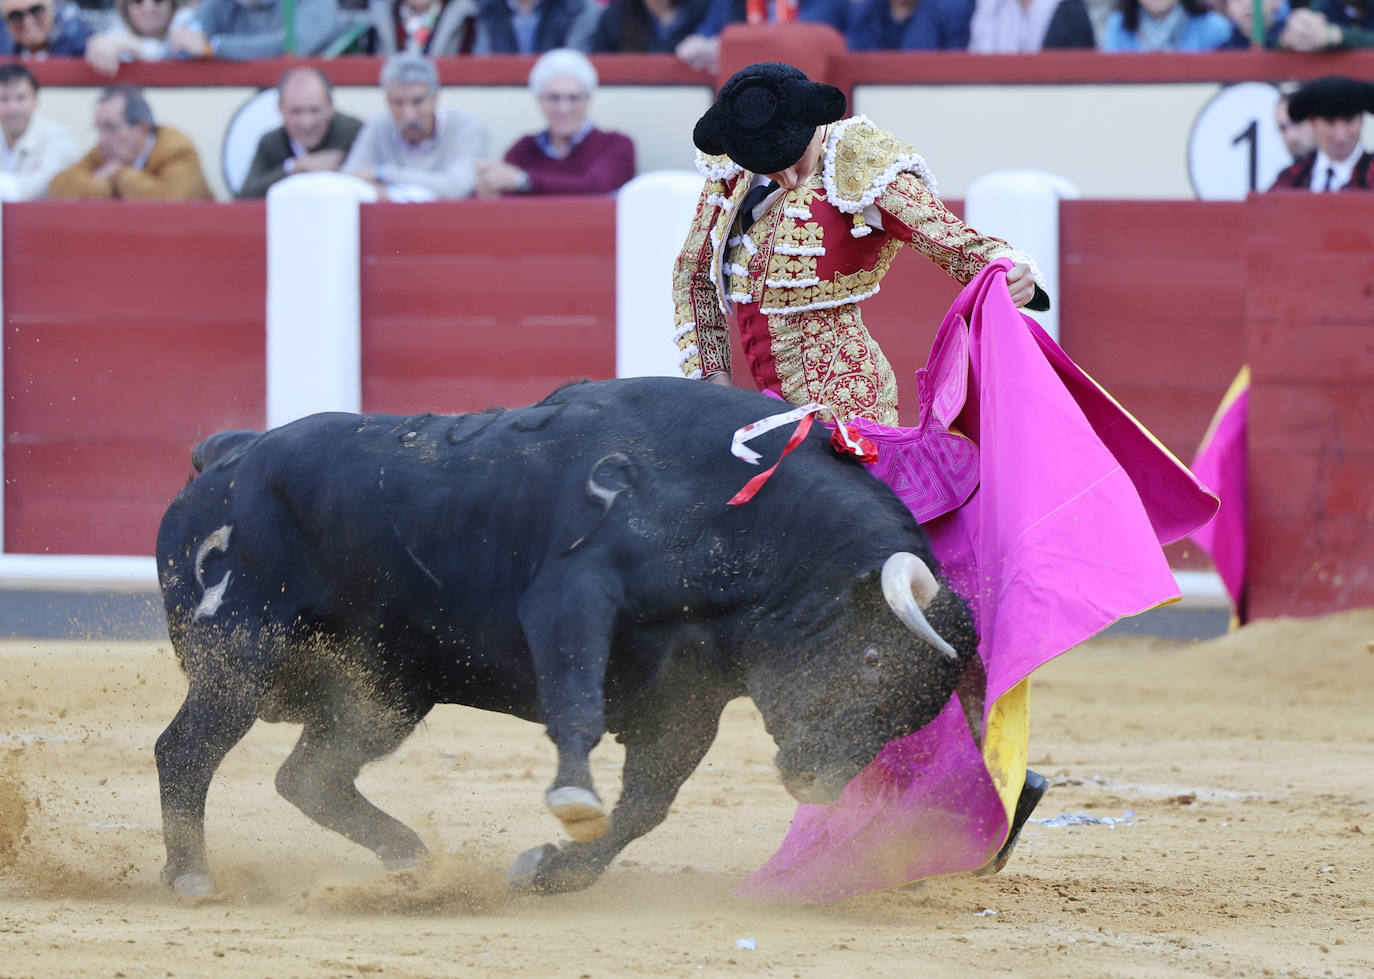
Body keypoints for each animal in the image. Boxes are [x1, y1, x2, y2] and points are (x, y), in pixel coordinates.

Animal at [155, 378, 978, 895]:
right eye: (870, 659)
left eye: (913, 714)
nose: (817, 784)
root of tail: (229, 453)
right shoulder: (570, 593)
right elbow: (576, 704)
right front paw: (573, 798)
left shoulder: (690, 693)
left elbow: (646, 804)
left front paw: (549, 871)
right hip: (240, 652)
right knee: (186, 748)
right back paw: (193, 874)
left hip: (386, 688)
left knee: (311, 776)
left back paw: (414, 859)